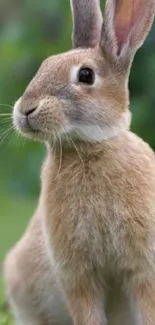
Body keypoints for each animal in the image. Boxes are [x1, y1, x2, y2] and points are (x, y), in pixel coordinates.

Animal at [3, 0, 155, 324]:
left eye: (86, 75)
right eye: (44, 65)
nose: (25, 110)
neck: (88, 147)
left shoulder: (144, 268)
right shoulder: (78, 276)